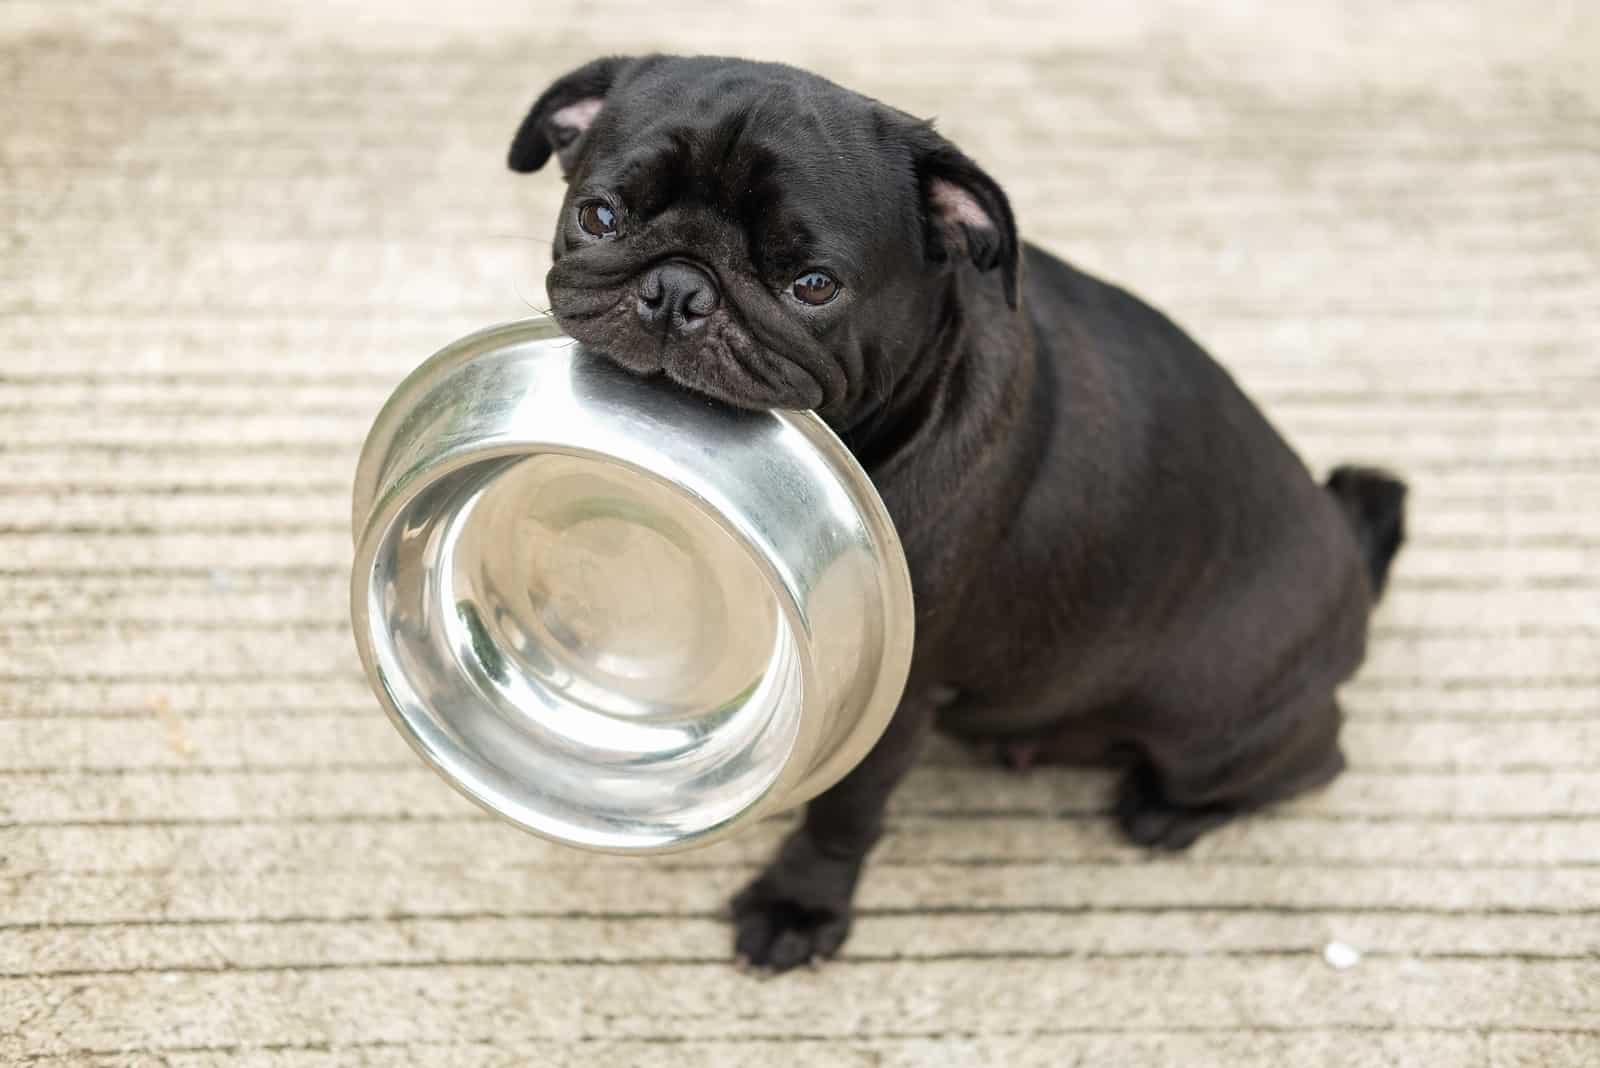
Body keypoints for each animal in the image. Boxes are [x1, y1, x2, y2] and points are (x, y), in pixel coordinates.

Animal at [505, 58, 1408, 978]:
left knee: (1312, 760)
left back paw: (1167, 812)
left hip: (1208, 736)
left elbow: (844, 813)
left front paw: (800, 904)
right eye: (599, 216)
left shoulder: (897, 701)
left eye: (814, 286)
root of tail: (1349, 559)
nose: (679, 289)